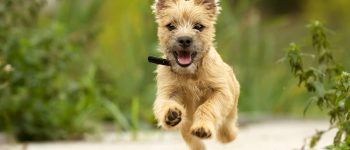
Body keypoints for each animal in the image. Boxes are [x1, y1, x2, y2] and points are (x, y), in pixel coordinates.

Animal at [152, 0, 239, 149]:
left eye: (198, 26)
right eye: (171, 26)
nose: (184, 40)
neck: (190, 73)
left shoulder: (221, 92)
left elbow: (207, 106)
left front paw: (202, 127)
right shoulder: (167, 92)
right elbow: (164, 103)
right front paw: (171, 113)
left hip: (230, 111)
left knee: (226, 129)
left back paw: (228, 136)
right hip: (186, 128)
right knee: (193, 141)